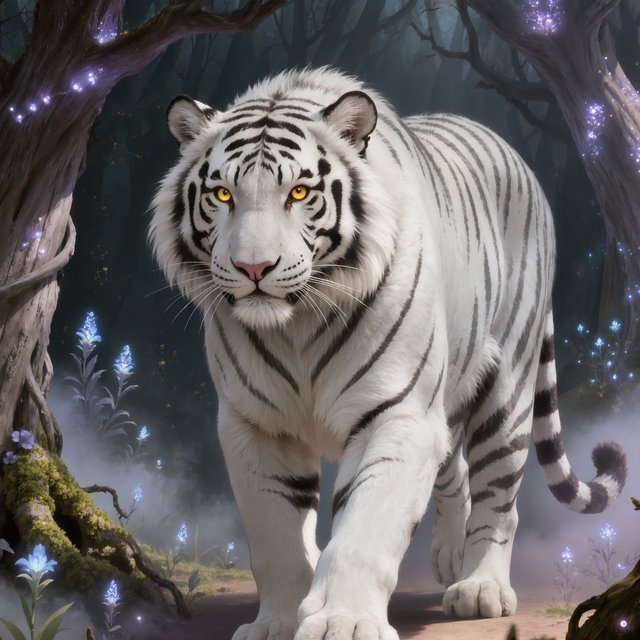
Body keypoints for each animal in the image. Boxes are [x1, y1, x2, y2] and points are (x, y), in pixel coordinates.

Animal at [149, 67, 627, 640]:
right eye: (222, 194)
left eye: (299, 191)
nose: (254, 268)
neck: (296, 326)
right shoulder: (255, 426)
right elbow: (276, 538)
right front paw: (277, 622)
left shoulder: (396, 413)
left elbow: (364, 529)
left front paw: (343, 621)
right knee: (455, 470)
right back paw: (449, 556)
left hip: (507, 388)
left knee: (498, 494)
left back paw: (479, 588)